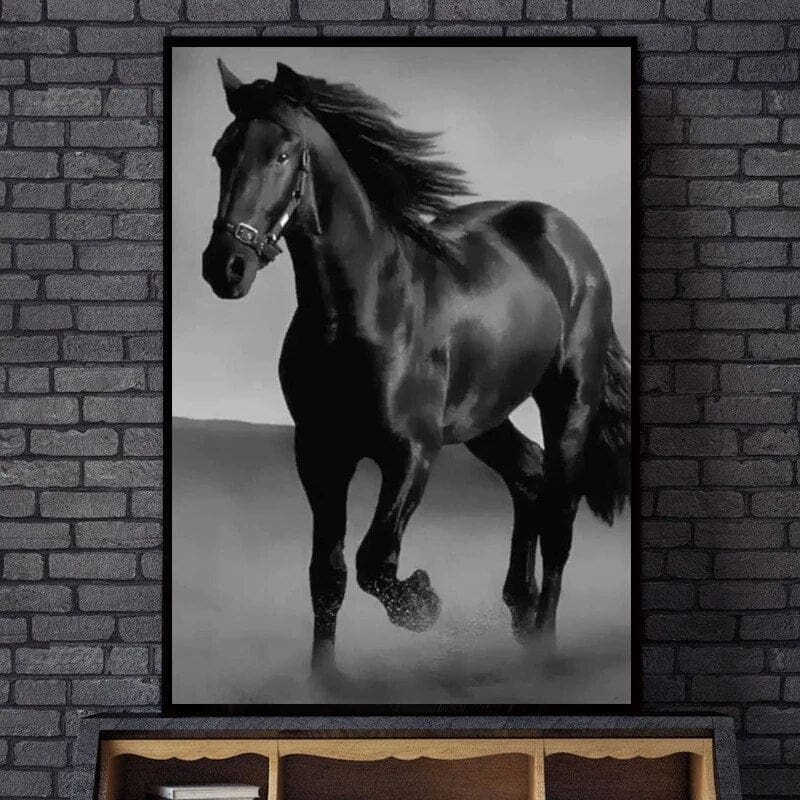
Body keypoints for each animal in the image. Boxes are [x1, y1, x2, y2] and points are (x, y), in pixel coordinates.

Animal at [201, 59, 631, 677]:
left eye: (282, 154)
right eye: (221, 152)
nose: (226, 267)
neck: (360, 311)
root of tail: (570, 239)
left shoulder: (412, 452)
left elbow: (374, 559)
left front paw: (423, 602)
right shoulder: (320, 454)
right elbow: (327, 575)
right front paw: (324, 678)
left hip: (569, 400)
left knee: (559, 517)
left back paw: (543, 645)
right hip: (483, 417)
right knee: (528, 476)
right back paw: (520, 613)